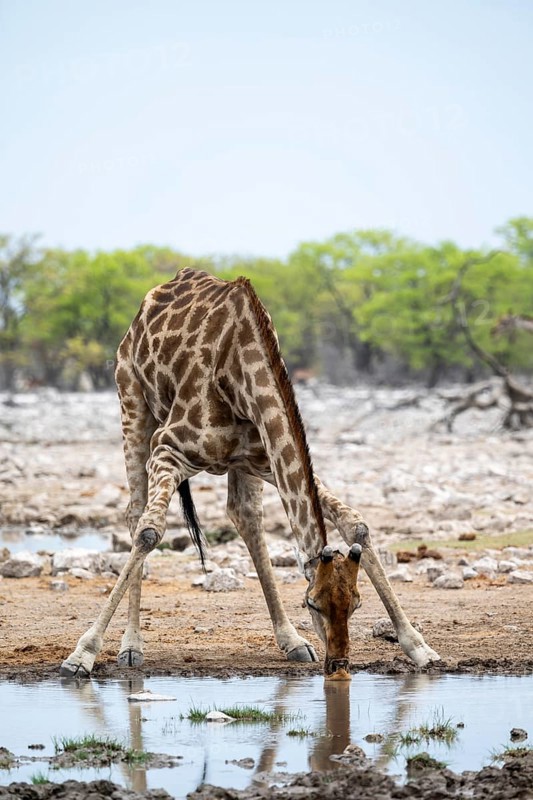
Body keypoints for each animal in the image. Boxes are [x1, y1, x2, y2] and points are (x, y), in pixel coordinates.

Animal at [60, 268, 439, 680]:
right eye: (313, 603)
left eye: (355, 603)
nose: (338, 665)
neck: (239, 372)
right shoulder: (168, 449)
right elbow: (149, 532)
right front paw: (81, 655)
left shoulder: (265, 458)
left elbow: (355, 524)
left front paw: (419, 647)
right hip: (131, 402)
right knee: (135, 513)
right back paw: (131, 647)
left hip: (240, 465)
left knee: (245, 517)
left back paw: (292, 640)